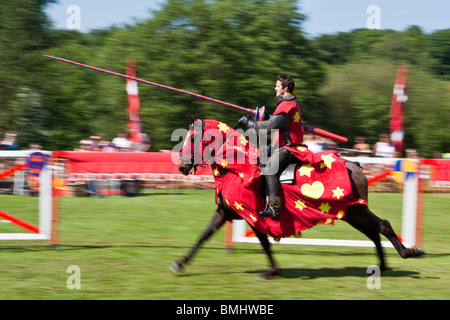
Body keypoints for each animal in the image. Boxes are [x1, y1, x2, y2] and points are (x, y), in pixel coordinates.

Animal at [170, 116, 426, 278]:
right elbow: (203, 236)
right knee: (373, 232)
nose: (182, 167)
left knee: (382, 226)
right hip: (351, 212)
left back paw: (408, 253)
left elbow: (264, 242)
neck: (236, 168)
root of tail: (355, 164)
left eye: (192, 138)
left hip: (356, 210)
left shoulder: (252, 215)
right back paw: (383, 265)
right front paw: (180, 263)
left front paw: (272, 271)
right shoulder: (225, 212)